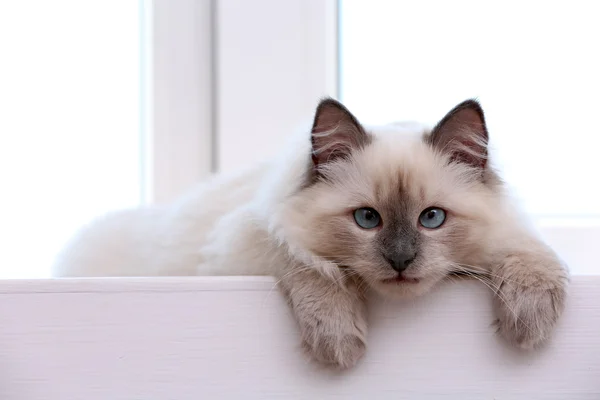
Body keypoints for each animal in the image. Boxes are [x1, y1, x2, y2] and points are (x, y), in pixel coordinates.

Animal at [54, 97, 568, 368]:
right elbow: (306, 262)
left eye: (432, 219)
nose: (401, 261)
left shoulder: (513, 236)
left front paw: (529, 323)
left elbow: (533, 256)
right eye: (367, 220)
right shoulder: (247, 241)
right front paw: (339, 341)